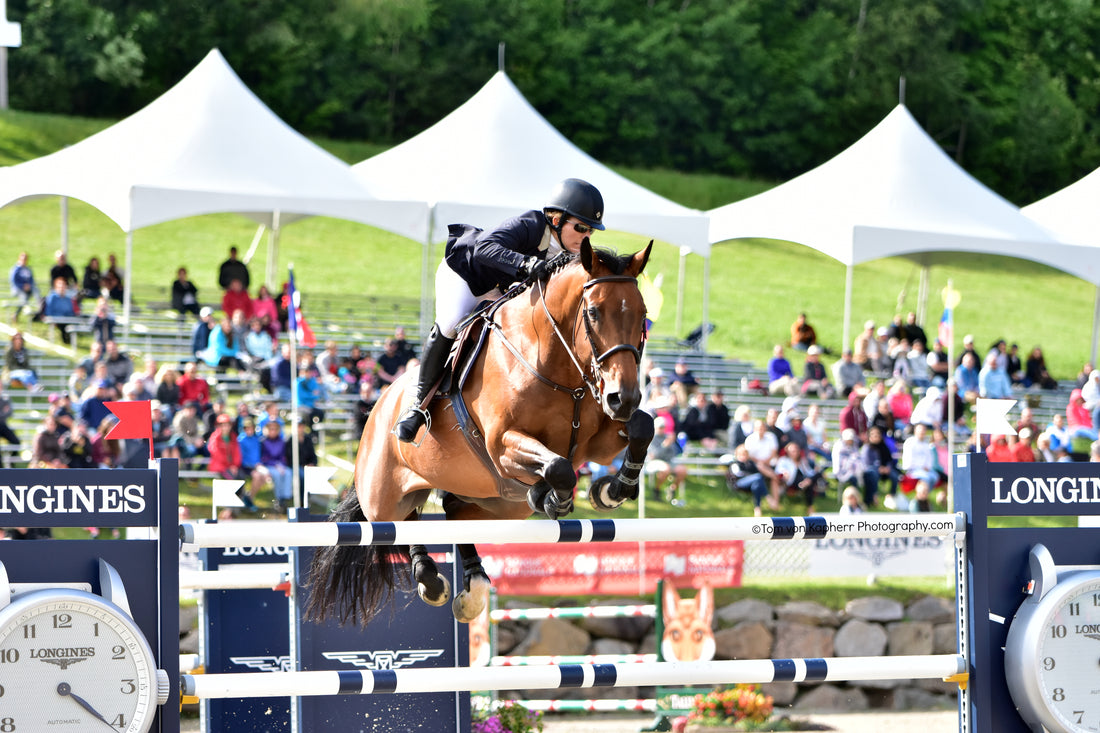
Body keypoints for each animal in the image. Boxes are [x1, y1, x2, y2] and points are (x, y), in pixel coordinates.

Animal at [305, 238, 651, 620]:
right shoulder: (502, 445)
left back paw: (473, 580)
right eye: (593, 313)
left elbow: (642, 427)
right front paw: (557, 499)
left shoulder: (598, 442)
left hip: (497, 505)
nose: (624, 397)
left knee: (455, 512)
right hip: (383, 496)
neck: (553, 364)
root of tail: (378, 406)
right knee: (399, 523)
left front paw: (612, 490)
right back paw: (430, 577)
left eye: (642, 314)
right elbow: (560, 467)